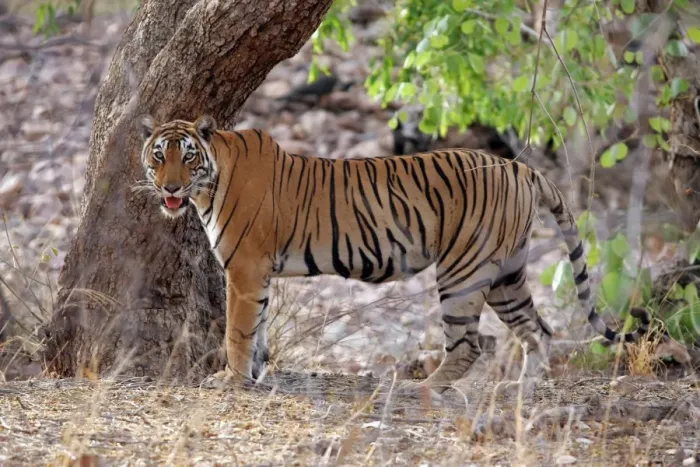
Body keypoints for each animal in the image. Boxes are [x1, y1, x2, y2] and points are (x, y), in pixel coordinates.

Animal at [137, 114, 651, 392]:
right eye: (159, 155)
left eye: (186, 156)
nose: (171, 188)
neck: (211, 179)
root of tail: (519, 168)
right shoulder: (257, 274)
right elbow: (257, 327)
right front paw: (256, 374)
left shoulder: (244, 269)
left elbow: (238, 330)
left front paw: (233, 379)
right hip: (509, 273)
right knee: (538, 332)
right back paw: (520, 388)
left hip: (463, 272)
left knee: (468, 343)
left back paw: (428, 386)